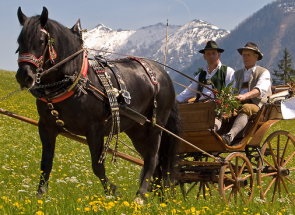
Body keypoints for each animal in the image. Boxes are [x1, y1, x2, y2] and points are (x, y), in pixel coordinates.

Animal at [15, 7, 180, 202]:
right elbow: (46, 162)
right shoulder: (46, 127)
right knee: (153, 160)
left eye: (41, 41)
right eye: (19, 40)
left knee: (153, 159)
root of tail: (164, 75)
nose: (24, 76)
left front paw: (112, 192)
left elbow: (97, 166)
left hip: (155, 127)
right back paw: (158, 197)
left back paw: (140, 196)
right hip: (137, 130)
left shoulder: (95, 130)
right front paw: (40, 196)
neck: (76, 81)